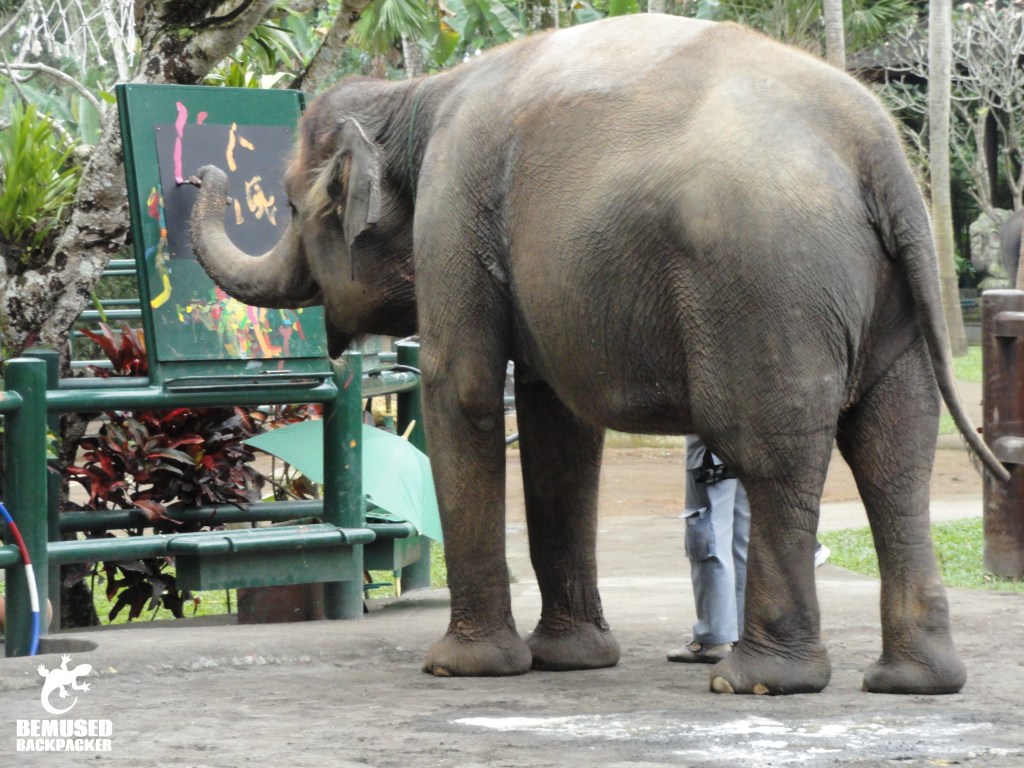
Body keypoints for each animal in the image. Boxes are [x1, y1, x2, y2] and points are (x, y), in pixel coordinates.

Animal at [190, 14, 1009, 695]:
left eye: (291, 205)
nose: (204, 172)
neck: (418, 94)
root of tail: (878, 151)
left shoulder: (453, 208)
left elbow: (466, 392)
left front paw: (461, 668)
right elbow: (558, 422)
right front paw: (573, 660)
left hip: (767, 284)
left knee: (776, 456)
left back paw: (759, 682)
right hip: (894, 300)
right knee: (895, 454)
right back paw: (913, 682)